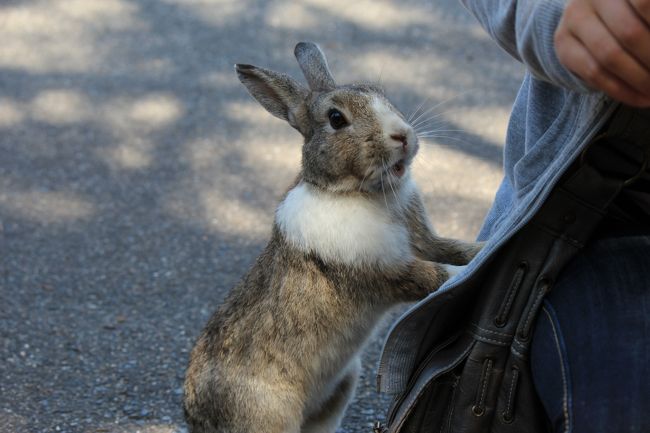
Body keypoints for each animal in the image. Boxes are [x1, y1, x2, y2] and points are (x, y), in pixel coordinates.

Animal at [182, 42, 480, 432]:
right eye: (336, 119)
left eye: (380, 94)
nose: (403, 136)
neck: (356, 192)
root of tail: (196, 419)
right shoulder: (386, 271)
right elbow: (433, 275)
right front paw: (475, 268)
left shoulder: (424, 241)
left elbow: (450, 248)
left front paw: (481, 248)